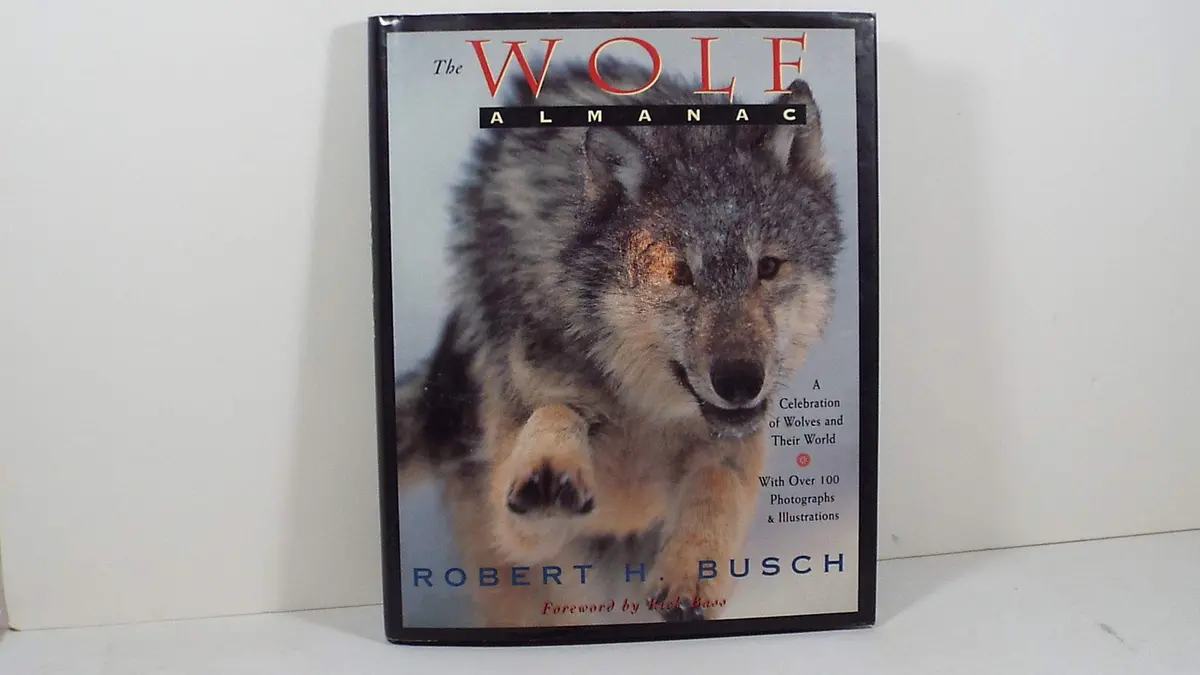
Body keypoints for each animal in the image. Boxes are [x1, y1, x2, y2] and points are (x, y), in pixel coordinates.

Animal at [392, 56, 845, 627]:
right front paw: (549, 469)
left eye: (767, 267)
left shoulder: (732, 441)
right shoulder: (523, 515)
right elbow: (554, 417)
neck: (639, 407)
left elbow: (718, 482)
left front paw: (690, 574)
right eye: (677, 274)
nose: (740, 382)